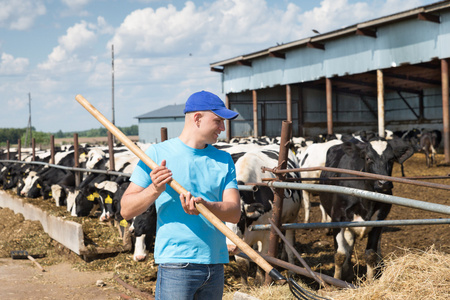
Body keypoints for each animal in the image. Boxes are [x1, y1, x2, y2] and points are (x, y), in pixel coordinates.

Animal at [318, 137, 414, 282]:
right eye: (368, 158)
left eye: (391, 159)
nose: (384, 183)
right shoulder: (337, 218)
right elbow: (340, 254)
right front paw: (335, 281)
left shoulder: (379, 220)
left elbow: (370, 254)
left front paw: (370, 281)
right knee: (347, 247)